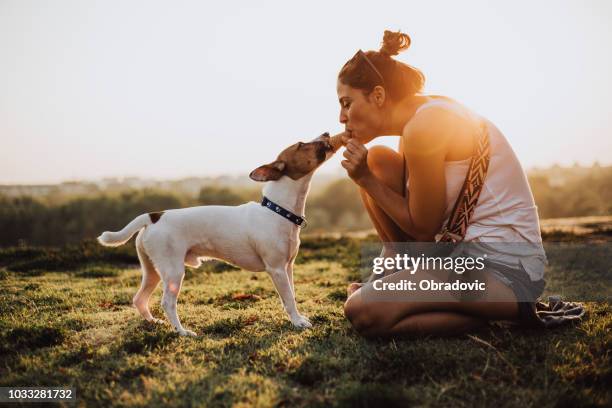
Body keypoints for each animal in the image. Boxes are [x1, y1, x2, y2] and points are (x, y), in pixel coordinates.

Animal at [98, 132, 342, 336]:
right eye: (301, 144)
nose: (327, 133)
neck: (278, 210)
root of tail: (153, 217)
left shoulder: (288, 267)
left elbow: (292, 295)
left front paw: (298, 318)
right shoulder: (277, 269)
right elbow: (289, 298)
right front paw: (297, 322)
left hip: (152, 271)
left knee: (140, 299)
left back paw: (154, 323)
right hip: (173, 271)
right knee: (167, 302)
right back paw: (181, 332)